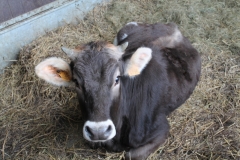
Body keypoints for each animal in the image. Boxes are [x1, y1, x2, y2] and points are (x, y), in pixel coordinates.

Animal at [35, 22, 201, 160]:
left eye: (117, 79)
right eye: (76, 82)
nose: (99, 131)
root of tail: (171, 27)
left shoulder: (162, 128)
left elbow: (131, 155)